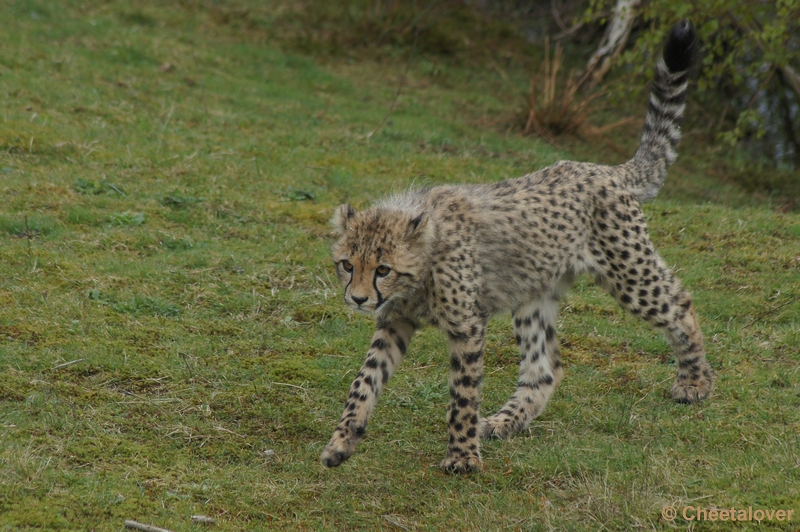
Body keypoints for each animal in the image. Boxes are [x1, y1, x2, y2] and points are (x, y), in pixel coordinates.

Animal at [318, 19, 712, 474]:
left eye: (382, 269)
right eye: (348, 265)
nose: (358, 299)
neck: (424, 261)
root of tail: (602, 168)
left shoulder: (467, 326)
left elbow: (462, 394)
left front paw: (462, 456)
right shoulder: (394, 322)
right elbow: (364, 381)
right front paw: (343, 440)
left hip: (628, 271)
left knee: (679, 303)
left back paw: (694, 381)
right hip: (534, 293)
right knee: (546, 368)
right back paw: (506, 421)